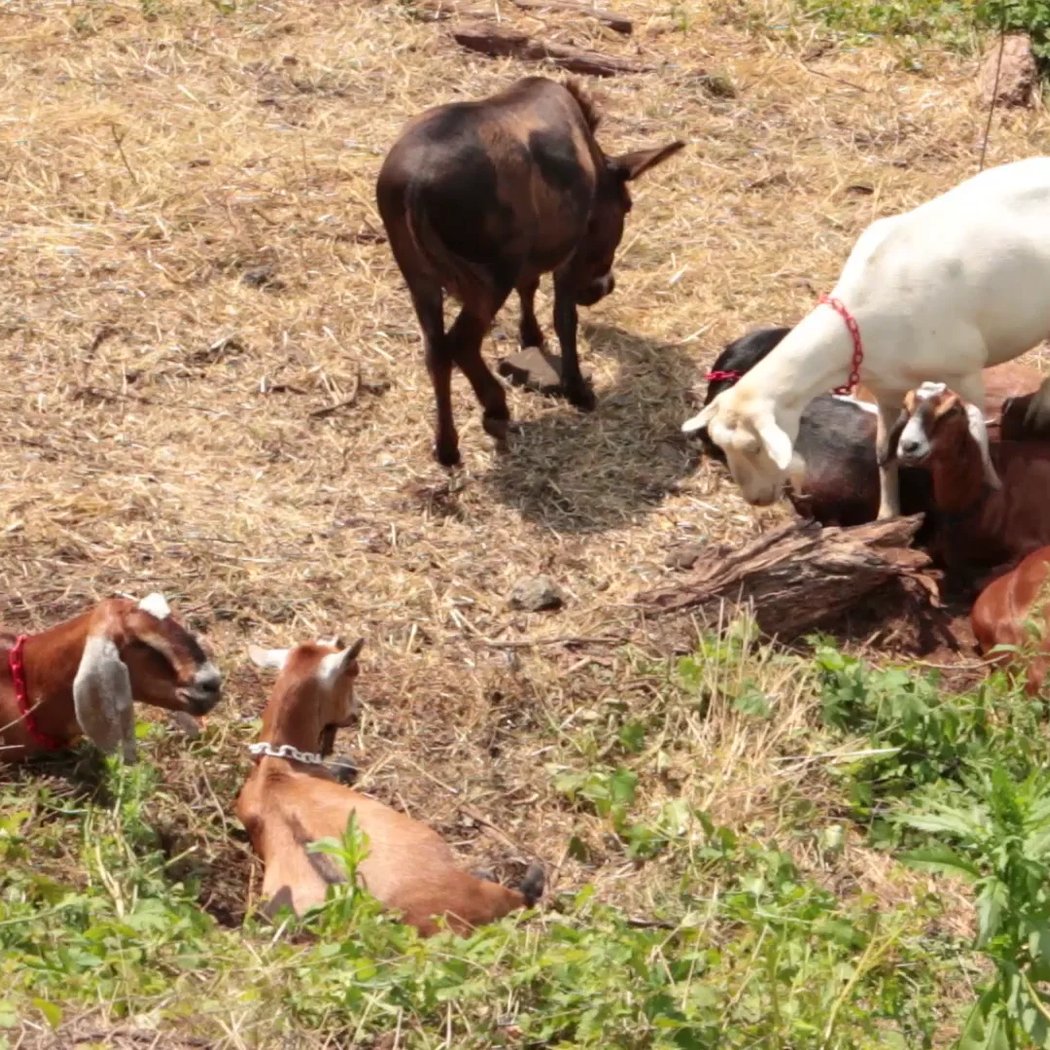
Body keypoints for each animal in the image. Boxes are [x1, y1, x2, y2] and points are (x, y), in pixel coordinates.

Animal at [377, 75, 683, 467]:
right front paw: (576, 389)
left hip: (421, 280)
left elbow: (530, 287)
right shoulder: (569, 255)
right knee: (461, 343)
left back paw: (447, 447)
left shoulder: (530, 258)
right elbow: (564, 318)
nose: (603, 287)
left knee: (436, 352)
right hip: (491, 278)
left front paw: (531, 337)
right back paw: (495, 409)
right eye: (627, 206)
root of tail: (415, 188)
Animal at [682, 157, 1050, 519]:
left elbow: (977, 431)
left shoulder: (966, 371)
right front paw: (887, 516)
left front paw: (992, 484)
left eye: (756, 447)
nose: (756, 499)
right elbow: (884, 453)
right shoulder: (887, 391)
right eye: (719, 444)